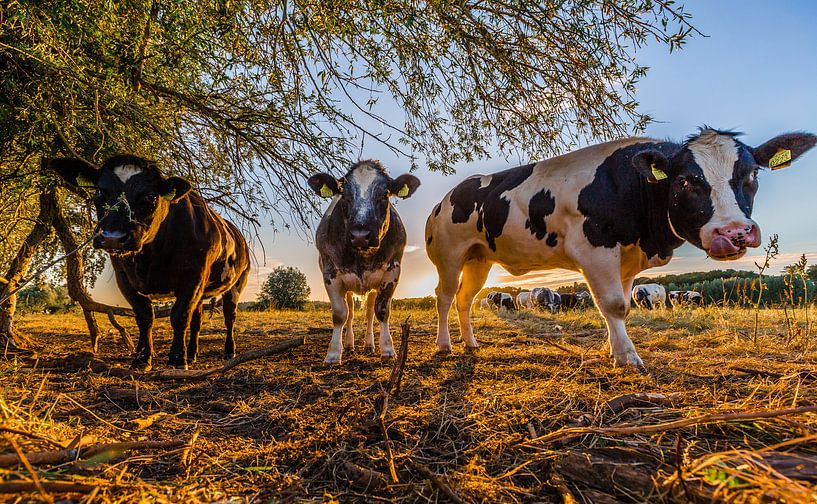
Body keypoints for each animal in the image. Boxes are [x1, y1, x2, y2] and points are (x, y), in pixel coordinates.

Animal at [49, 155, 250, 371]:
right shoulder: (124, 278)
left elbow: (179, 316)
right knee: (197, 319)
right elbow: (145, 317)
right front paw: (142, 358)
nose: (113, 237)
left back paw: (229, 351)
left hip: (237, 283)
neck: (151, 258)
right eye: (100, 192)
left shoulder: (193, 277)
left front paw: (177, 360)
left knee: (229, 317)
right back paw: (192, 354)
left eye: (151, 196)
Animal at [308, 160, 420, 364]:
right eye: (344, 194)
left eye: (384, 195)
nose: (360, 235)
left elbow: (381, 311)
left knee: (369, 312)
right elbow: (340, 314)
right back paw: (349, 344)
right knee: (351, 312)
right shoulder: (330, 272)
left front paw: (387, 349)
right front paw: (333, 353)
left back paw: (369, 344)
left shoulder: (392, 271)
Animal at [425, 128, 816, 367]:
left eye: (752, 174)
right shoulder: (596, 250)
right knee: (444, 297)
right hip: (448, 255)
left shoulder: (627, 259)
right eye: (684, 180)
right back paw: (445, 344)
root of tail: (445, 198)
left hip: (479, 259)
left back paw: (471, 342)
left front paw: (611, 348)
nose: (734, 232)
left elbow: (623, 306)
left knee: (465, 299)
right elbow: (613, 305)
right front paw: (627, 356)